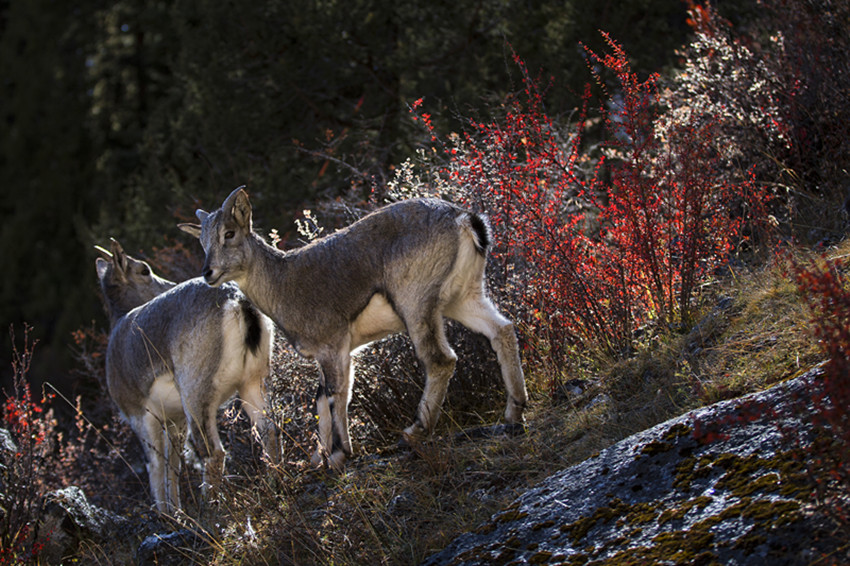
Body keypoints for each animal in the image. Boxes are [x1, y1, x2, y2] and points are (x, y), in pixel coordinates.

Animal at [95, 238, 279, 513]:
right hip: (252, 380)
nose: (168, 284)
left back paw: (209, 509)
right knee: (269, 429)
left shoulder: (141, 415)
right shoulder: (175, 420)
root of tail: (236, 301)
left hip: (195, 394)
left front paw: (166, 515)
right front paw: (177, 511)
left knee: (213, 452)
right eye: (144, 270)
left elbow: (156, 465)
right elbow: (173, 464)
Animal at [179, 187, 527, 470]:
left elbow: (334, 396)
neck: (283, 282)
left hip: (415, 303)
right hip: (463, 297)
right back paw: (514, 413)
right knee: (502, 330)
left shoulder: (332, 346)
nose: (209, 272)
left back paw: (415, 431)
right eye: (202, 241)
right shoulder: (341, 351)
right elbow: (326, 398)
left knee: (441, 360)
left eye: (229, 233)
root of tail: (465, 219)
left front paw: (338, 455)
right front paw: (320, 457)